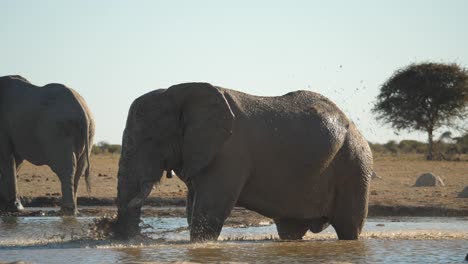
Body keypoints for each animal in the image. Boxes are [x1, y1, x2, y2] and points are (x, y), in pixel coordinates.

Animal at [0, 76, 95, 214]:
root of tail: (82, 110)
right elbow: (15, 160)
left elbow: (6, 157)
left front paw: (13, 208)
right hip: (88, 131)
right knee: (79, 168)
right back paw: (72, 210)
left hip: (56, 130)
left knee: (64, 167)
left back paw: (66, 210)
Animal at [114, 82, 372, 241]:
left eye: (148, 139)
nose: (117, 237)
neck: (178, 93)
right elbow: (193, 206)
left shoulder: (229, 152)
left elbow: (211, 207)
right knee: (290, 230)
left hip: (355, 164)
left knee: (349, 227)